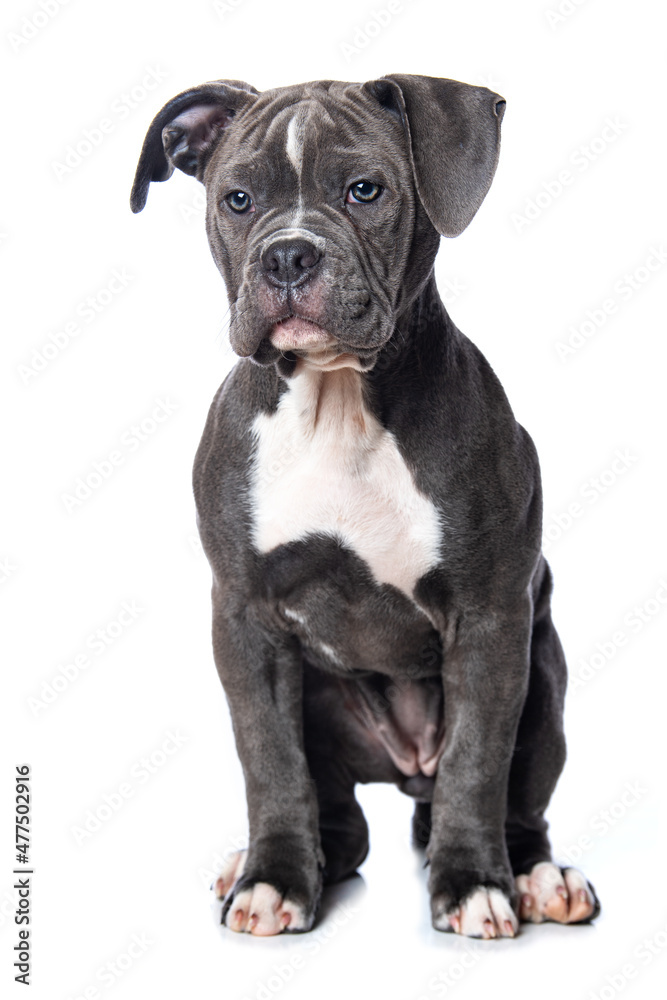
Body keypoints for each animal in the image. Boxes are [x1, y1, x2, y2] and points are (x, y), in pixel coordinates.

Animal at [130, 72, 600, 936]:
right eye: (238, 198)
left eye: (364, 191)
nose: (288, 253)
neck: (337, 398)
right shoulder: (244, 618)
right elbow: (269, 760)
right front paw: (274, 879)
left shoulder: (491, 620)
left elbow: (476, 763)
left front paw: (470, 884)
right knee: (340, 822)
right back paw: (268, 864)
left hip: (543, 680)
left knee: (512, 802)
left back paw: (534, 874)